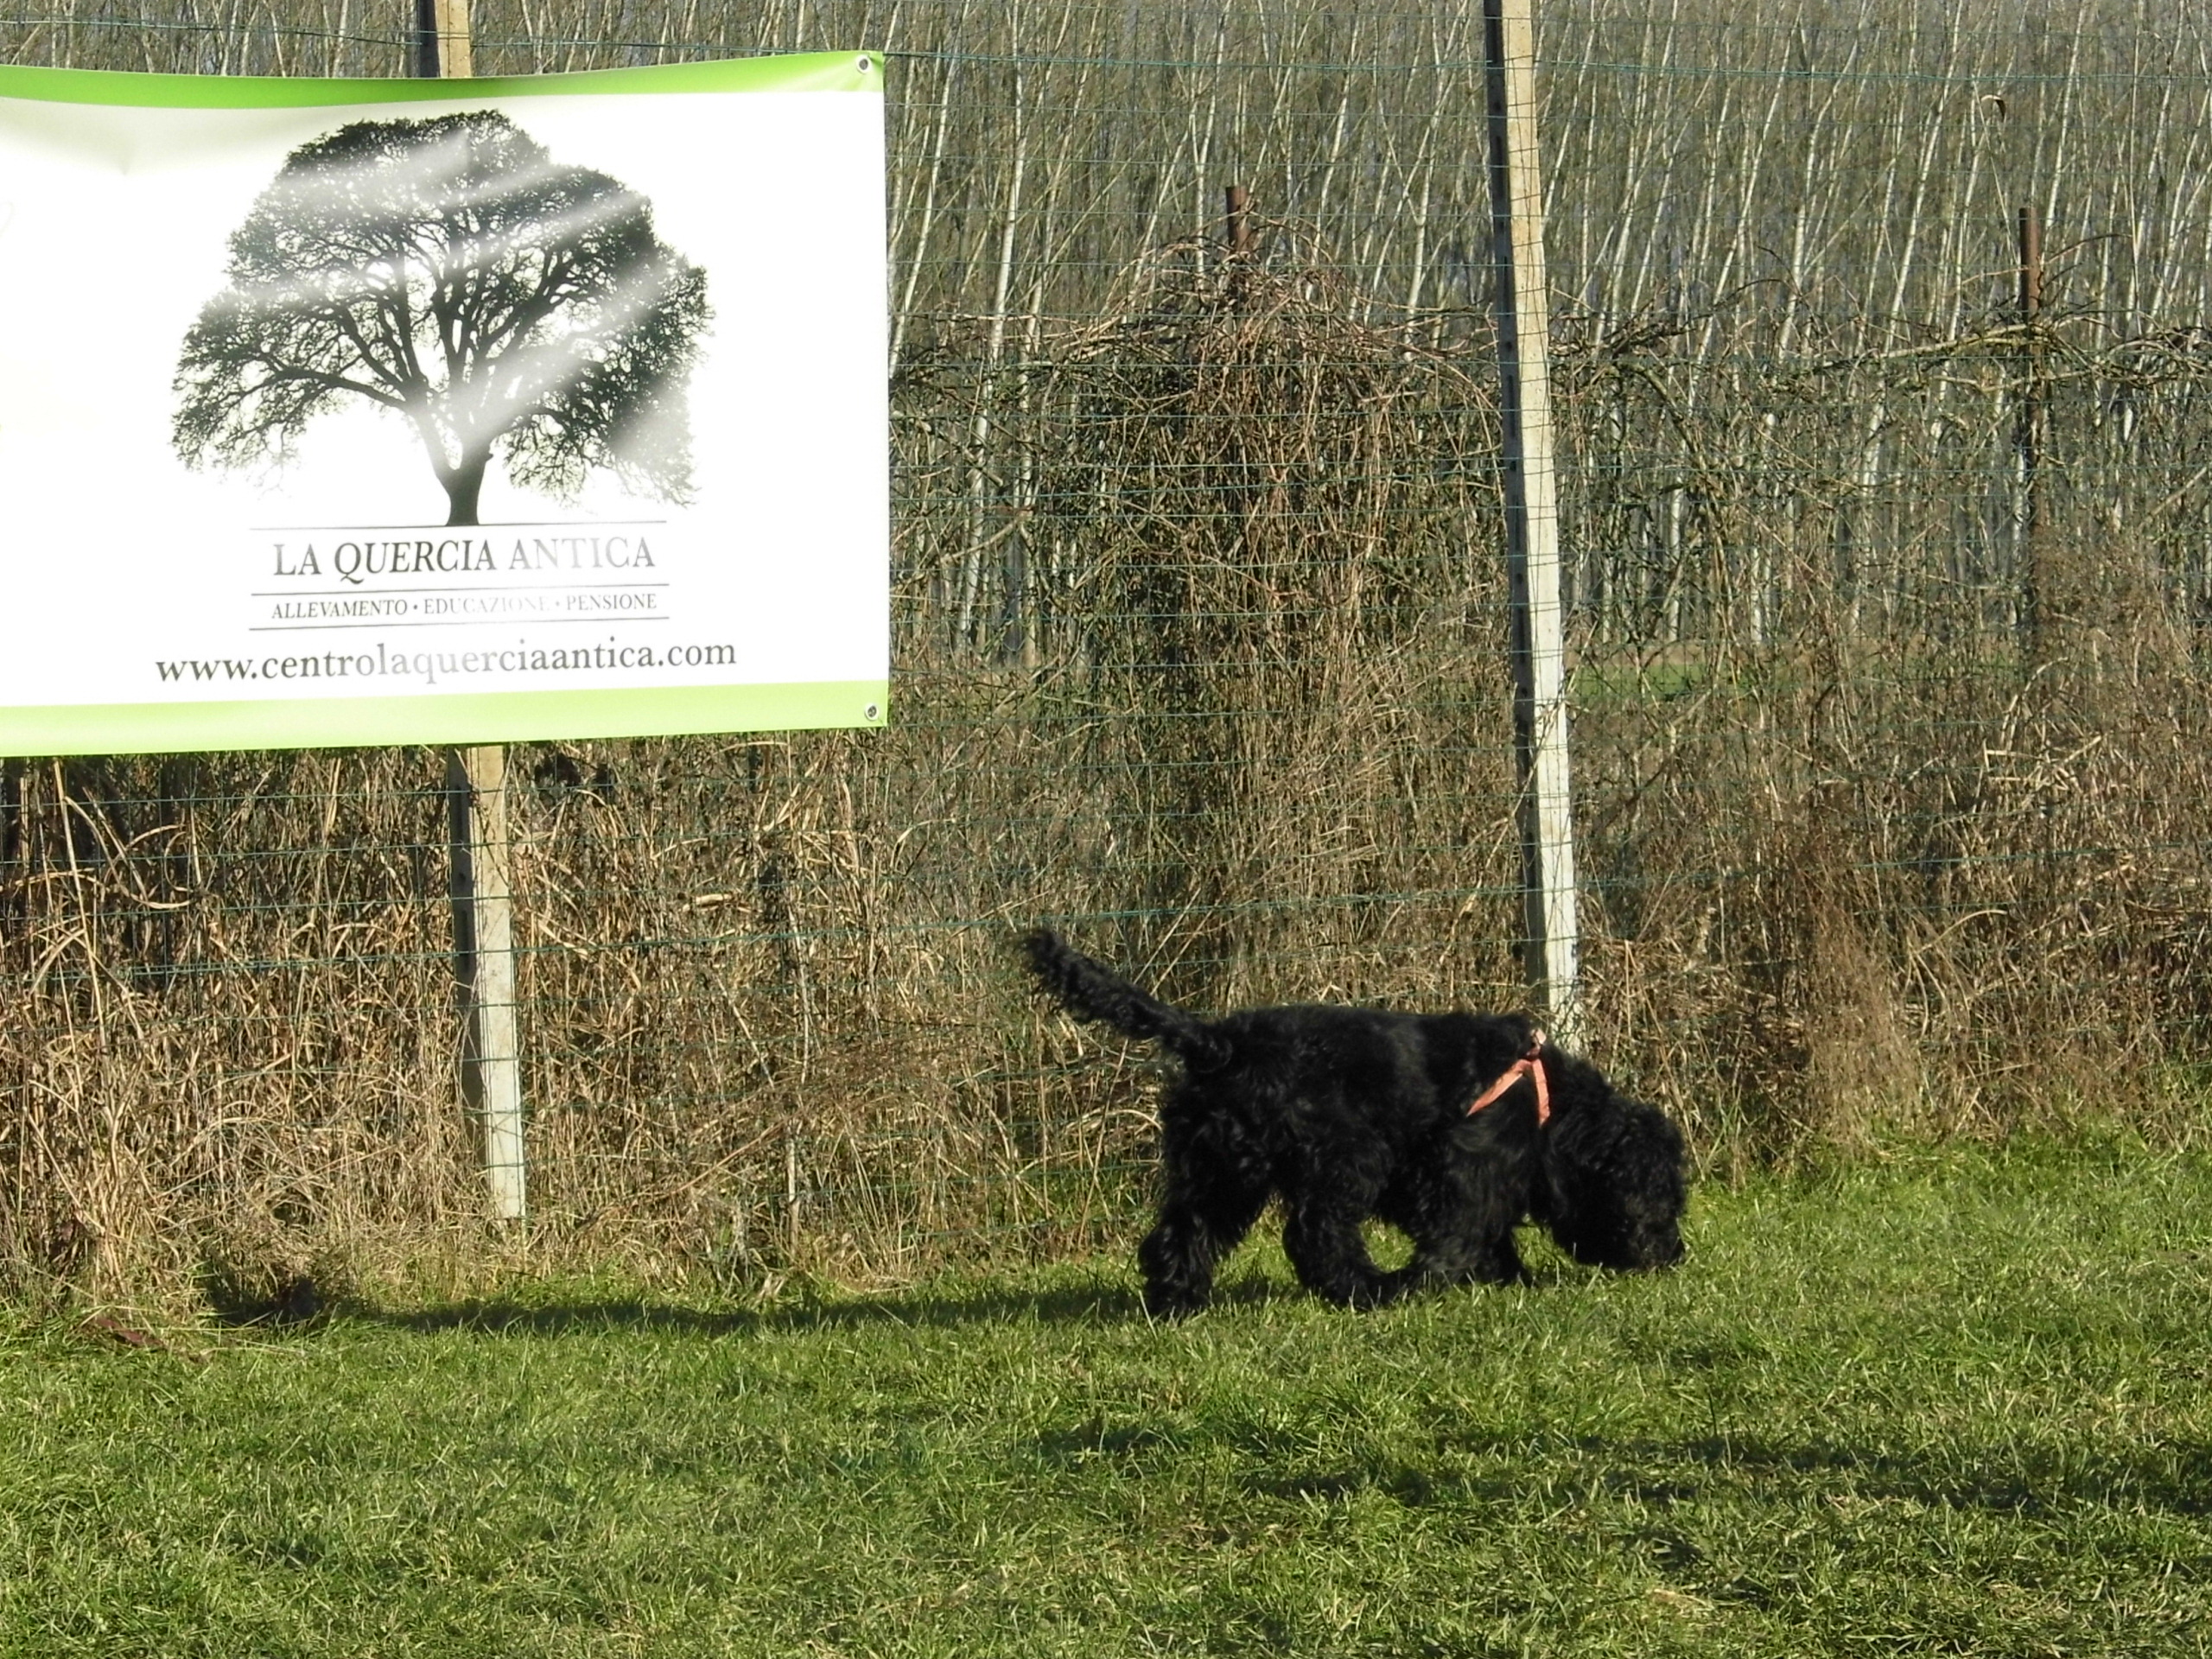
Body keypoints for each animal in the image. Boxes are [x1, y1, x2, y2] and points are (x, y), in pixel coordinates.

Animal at [1022, 929, 1686, 1315]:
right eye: (1664, 1200)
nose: (1676, 1254)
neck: (1552, 1110)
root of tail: (1217, 1043)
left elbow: (1485, 1233)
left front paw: (1505, 1278)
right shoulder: (1467, 1165)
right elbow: (1461, 1230)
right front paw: (1434, 1282)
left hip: (1220, 1167)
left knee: (1183, 1231)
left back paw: (1176, 1302)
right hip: (1343, 1153)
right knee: (1315, 1232)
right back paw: (1369, 1290)